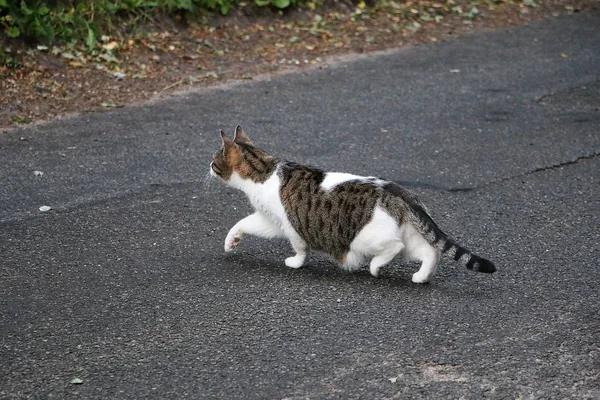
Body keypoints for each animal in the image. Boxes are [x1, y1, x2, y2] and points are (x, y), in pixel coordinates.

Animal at [209, 126, 494, 282]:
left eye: (213, 160)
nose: (208, 167)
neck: (264, 170)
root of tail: (400, 193)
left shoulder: (290, 225)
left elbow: (300, 248)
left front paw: (295, 263)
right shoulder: (271, 220)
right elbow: (244, 223)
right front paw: (231, 241)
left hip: (365, 240)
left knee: (394, 247)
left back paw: (376, 267)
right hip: (409, 236)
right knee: (430, 252)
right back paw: (421, 277)